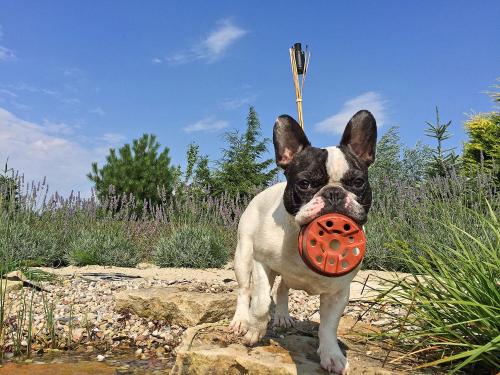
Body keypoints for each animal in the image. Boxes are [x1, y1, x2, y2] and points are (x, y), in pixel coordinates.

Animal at [229, 110, 376, 374]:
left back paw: (283, 316)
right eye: (305, 184)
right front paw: (255, 331)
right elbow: (260, 303)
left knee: (283, 289)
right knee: (245, 290)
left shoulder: (339, 291)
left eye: (358, 183)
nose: (334, 193)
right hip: (243, 256)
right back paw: (240, 320)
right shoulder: (261, 263)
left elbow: (328, 326)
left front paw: (333, 355)